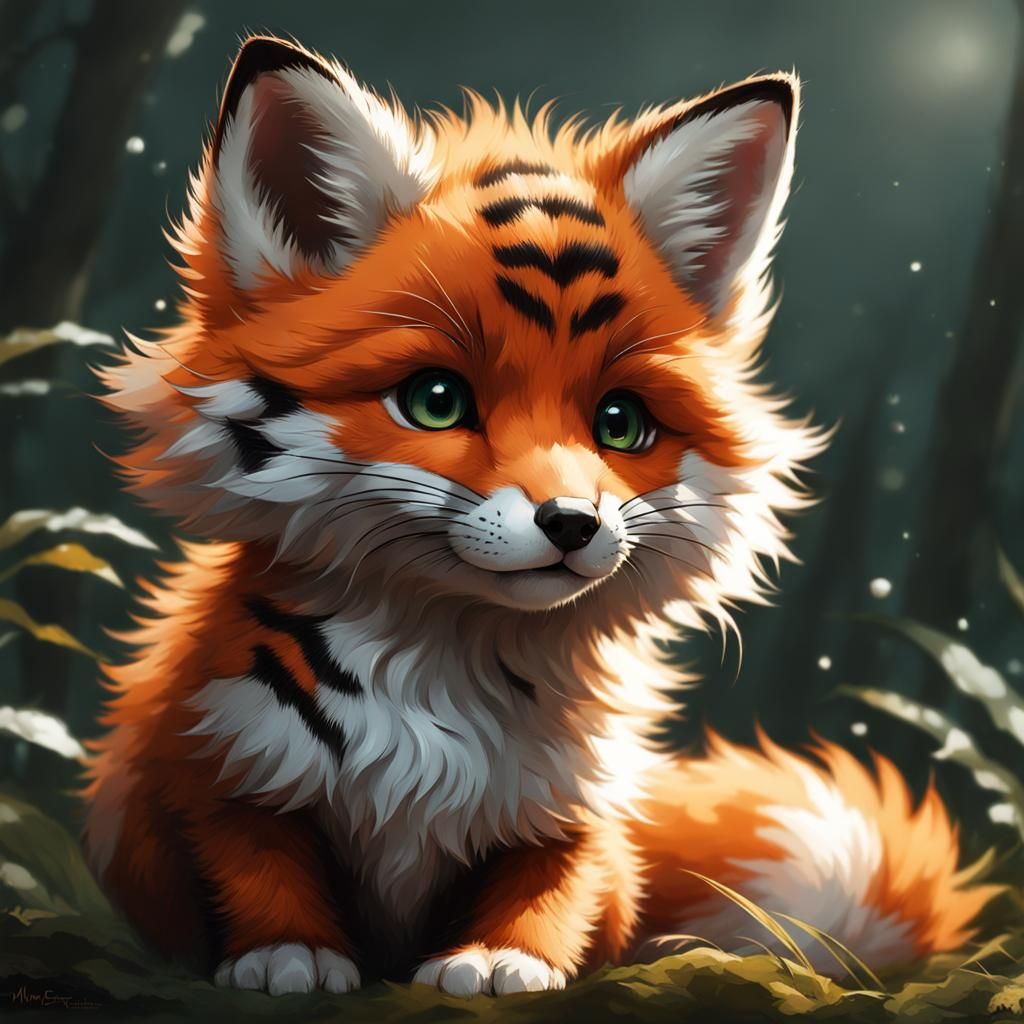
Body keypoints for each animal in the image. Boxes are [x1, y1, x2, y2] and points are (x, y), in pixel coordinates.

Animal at [82, 35, 999, 997]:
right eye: (436, 401)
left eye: (621, 424)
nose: (573, 523)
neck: (438, 687)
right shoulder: (216, 756)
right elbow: (253, 859)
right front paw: (285, 952)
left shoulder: (576, 807)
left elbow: (556, 886)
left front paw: (501, 957)